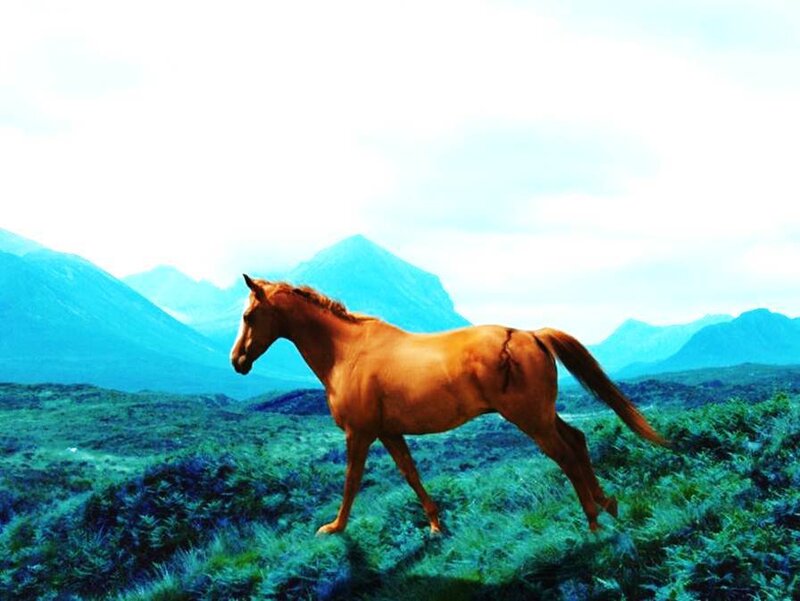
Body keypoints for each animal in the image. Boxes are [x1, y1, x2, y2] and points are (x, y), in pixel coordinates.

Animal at [230, 275, 668, 535]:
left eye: (249, 315)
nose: (238, 361)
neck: (346, 353)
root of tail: (531, 334)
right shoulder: (389, 432)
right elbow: (410, 474)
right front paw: (436, 525)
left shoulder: (360, 433)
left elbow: (352, 481)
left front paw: (335, 528)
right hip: (542, 414)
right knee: (577, 441)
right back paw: (607, 504)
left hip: (531, 419)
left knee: (565, 455)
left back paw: (593, 519)